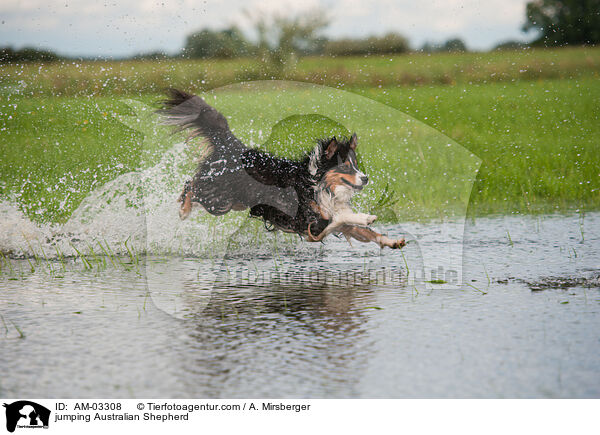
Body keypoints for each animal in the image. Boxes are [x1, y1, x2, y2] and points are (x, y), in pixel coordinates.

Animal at [157, 88, 406, 250]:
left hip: (233, 202)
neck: (317, 183)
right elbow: (343, 217)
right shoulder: (310, 223)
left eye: (356, 164)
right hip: (218, 199)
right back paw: (183, 210)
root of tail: (232, 145)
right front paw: (367, 216)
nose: (365, 178)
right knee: (190, 185)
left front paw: (391, 241)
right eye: (345, 166)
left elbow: (361, 230)